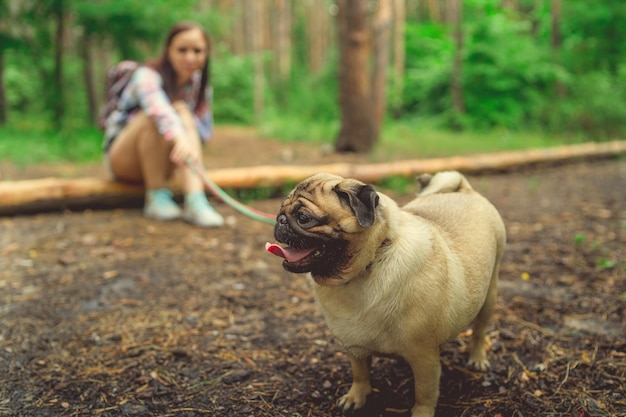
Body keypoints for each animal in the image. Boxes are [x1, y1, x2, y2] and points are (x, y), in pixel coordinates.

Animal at [264, 170, 502, 416]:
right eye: (281, 209)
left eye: (303, 218)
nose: (280, 219)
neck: (370, 263)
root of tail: (463, 189)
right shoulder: (355, 346)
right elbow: (360, 374)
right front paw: (356, 398)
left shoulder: (424, 358)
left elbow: (424, 394)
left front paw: (421, 413)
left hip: (489, 296)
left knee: (479, 331)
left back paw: (477, 358)